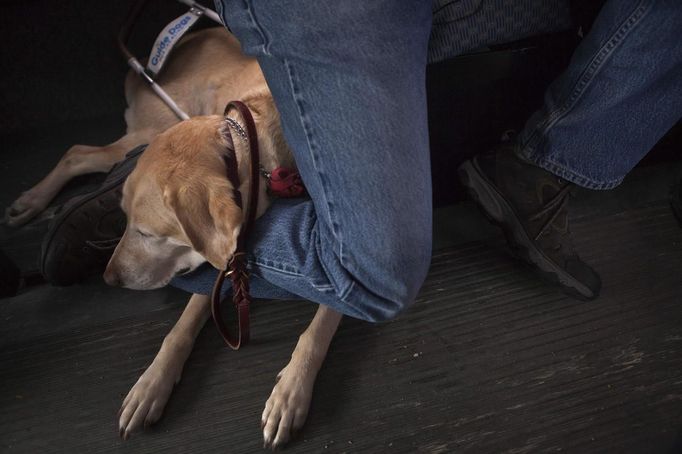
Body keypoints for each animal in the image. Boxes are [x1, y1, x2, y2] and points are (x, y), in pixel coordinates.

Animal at [11, 26, 340, 448]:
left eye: (147, 232)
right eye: (127, 222)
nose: (109, 278)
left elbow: (317, 330)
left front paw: (290, 392)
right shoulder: (219, 254)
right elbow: (179, 330)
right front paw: (152, 384)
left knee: (79, 151)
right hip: (151, 128)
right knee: (77, 152)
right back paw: (33, 202)